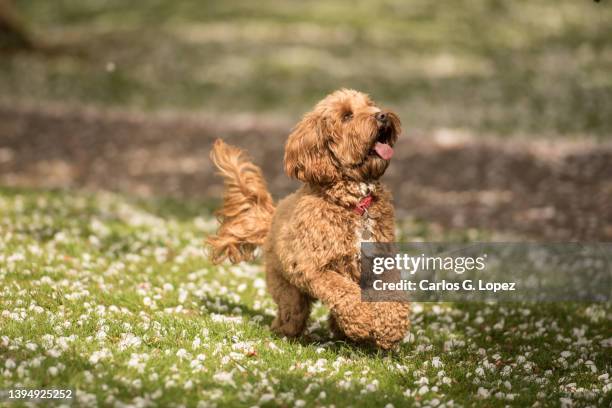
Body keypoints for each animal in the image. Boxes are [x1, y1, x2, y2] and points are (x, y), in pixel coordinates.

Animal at [207, 88, 412, 348]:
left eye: (370, 104)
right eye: (347, 115)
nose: (382, 115)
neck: (353, 204)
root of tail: (273, 217)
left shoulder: (381, 260)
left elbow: (391, 293)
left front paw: (391, 327)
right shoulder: (314, 267)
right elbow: (343, 291)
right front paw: (364, 320)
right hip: (287, 289)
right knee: (291, 315)